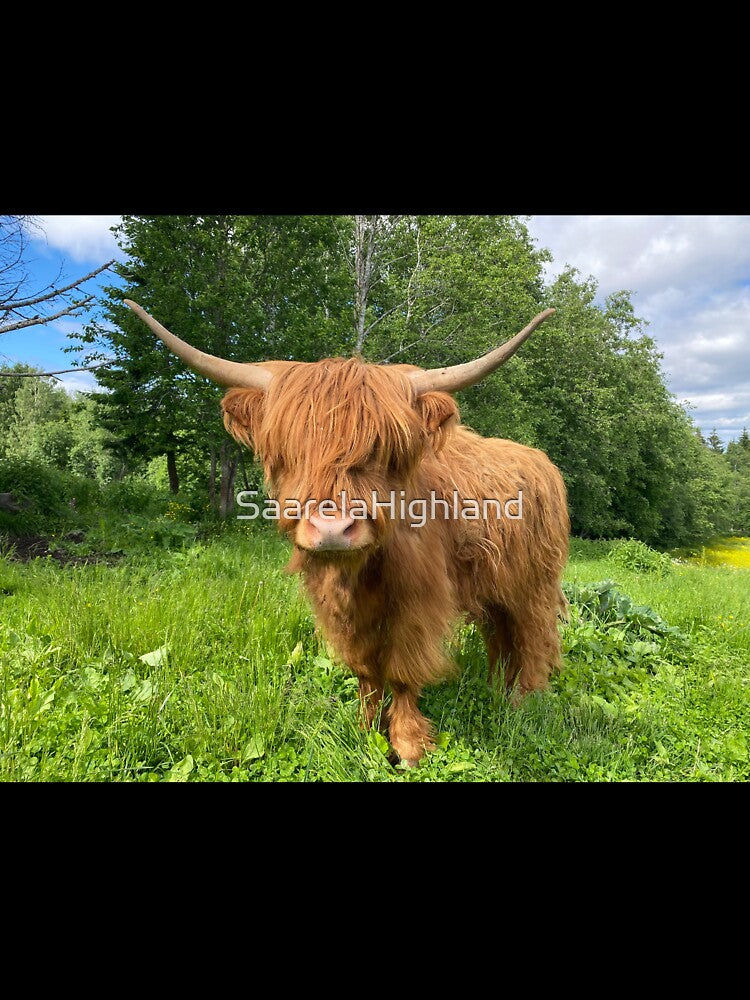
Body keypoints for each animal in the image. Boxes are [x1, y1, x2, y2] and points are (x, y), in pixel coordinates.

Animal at [124, 299, 570, 766]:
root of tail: (540, 460)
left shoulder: (419, 600)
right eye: (290, 451)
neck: (359, 575)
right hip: (495, 588)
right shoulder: (337, 607)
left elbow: (403, 670)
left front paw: (408, 745)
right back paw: (496, 689)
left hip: (535, 585)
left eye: (382, 450)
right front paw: (365, 730)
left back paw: (524, 703)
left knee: (534, 637)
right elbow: (365, 670)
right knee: (500, 636)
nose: (332, 528)